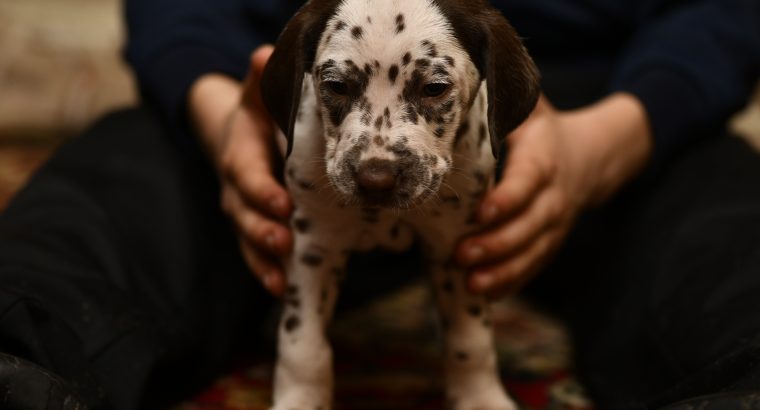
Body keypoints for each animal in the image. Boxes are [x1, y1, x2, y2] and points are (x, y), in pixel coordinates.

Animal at [260, 0, 540, 410]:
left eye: (434, 88)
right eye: (337, 86)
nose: (376, 179)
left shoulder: (456, 246)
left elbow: (469, 339)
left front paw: (480, 397)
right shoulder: (314, 246)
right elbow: (303, 343)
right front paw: (301, 400)